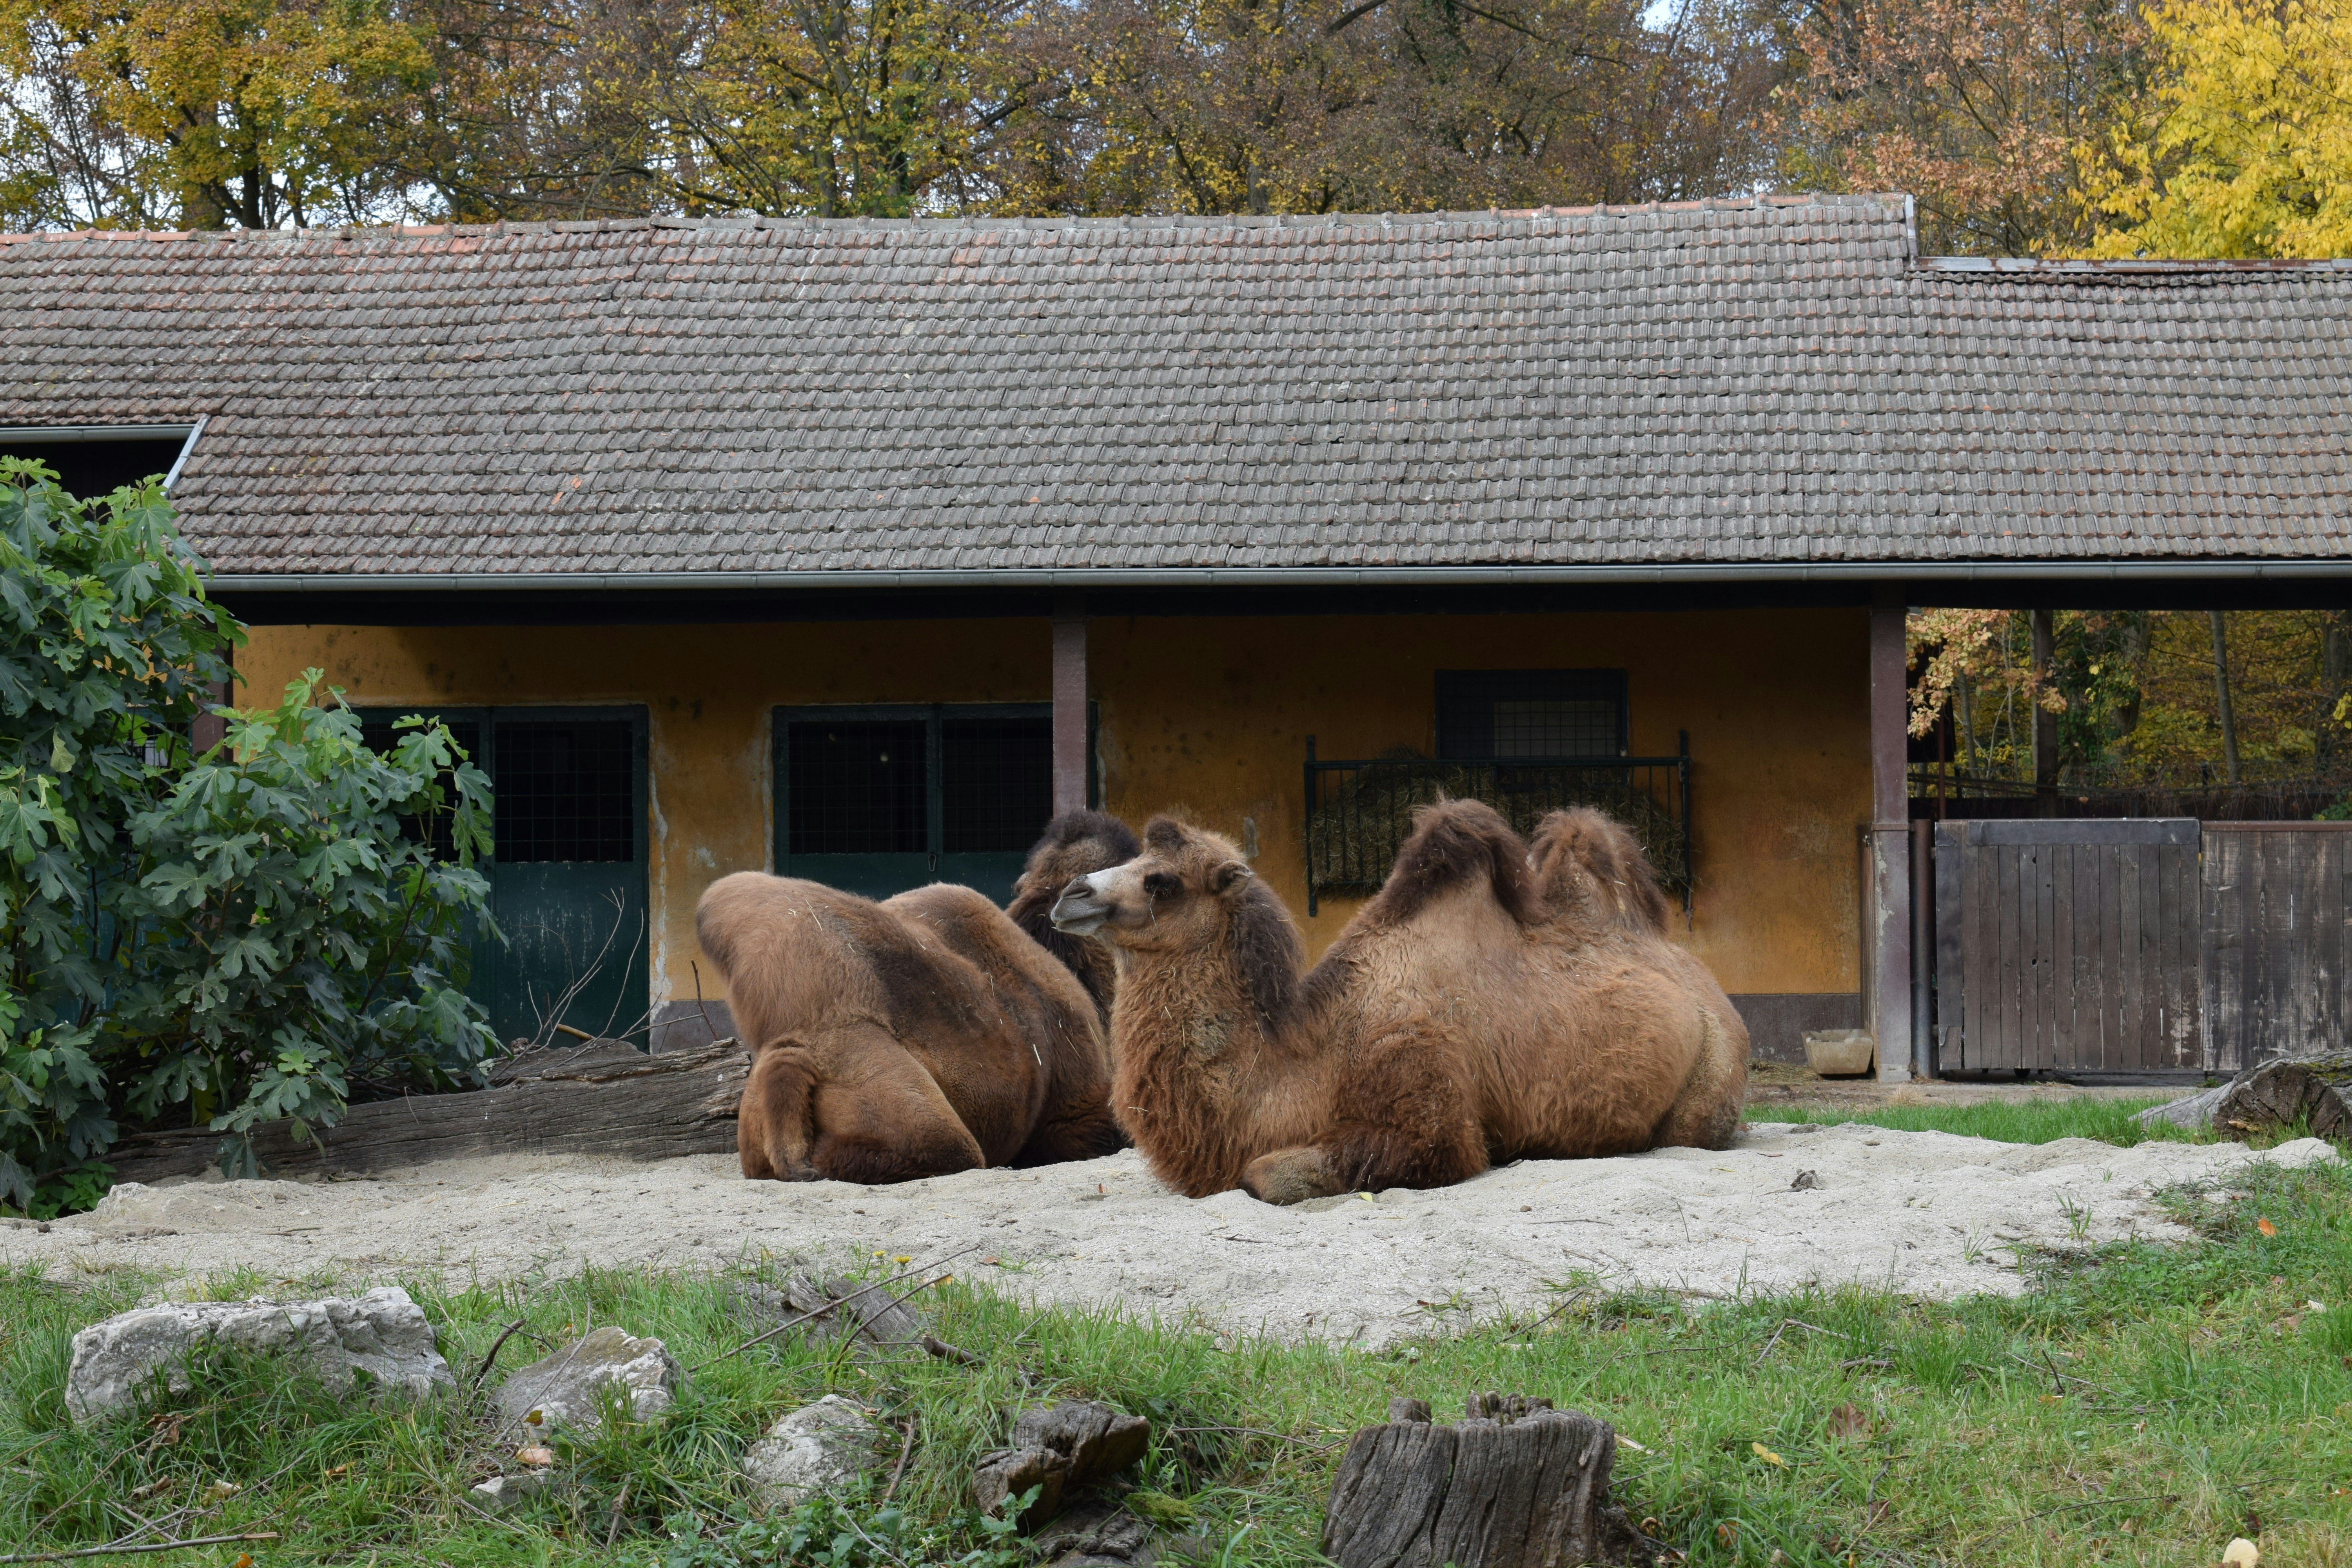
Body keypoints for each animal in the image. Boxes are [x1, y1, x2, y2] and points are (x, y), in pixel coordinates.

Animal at [1049, 800, 1747, 1204]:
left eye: (1161, 881)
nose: (1069, 896)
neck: (1312, 1055)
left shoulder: (1427, 1108)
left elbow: (1263, 1174)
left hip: (1714, 1077)